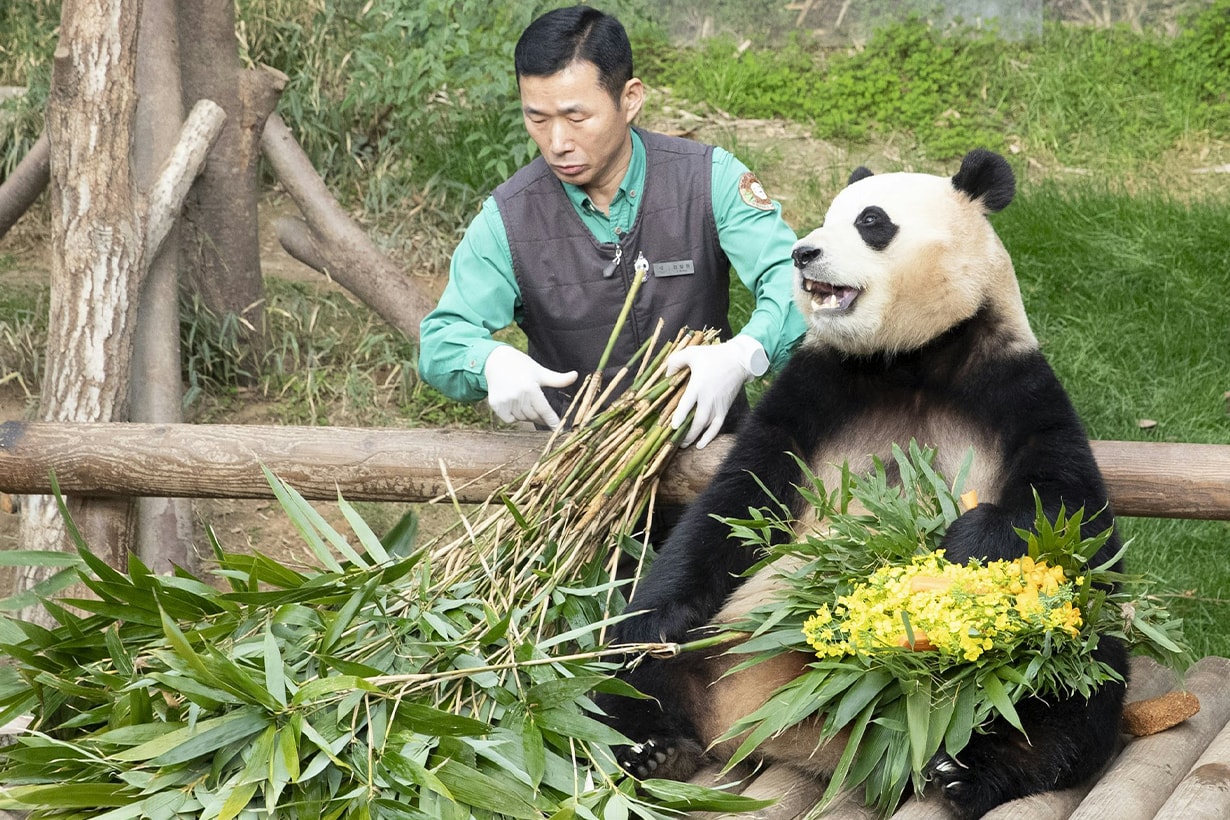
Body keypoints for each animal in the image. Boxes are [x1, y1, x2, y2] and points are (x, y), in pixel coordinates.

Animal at [600, 149, 1126, 820]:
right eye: (827, 217)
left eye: (872, 222)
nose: (803, 253)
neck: (907, 359)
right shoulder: (815, 387)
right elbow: (737, 499)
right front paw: (657, 621)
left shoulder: (1014, 383)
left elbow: (1065, 505)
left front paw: (967, 543)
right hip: (713, 640)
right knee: (626, 674)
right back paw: (653, 749)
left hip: (1044, 653)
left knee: (1071, 684)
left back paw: (971, 772)